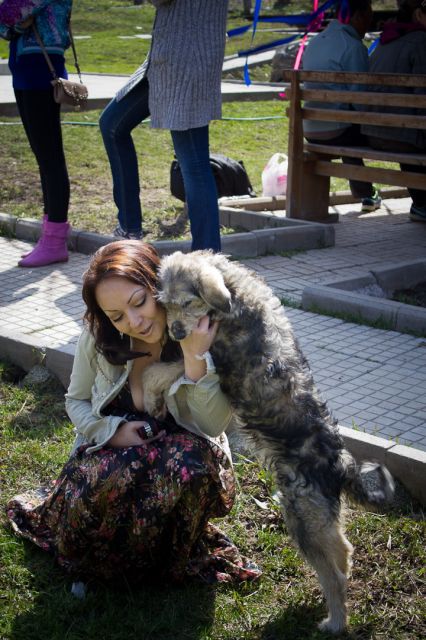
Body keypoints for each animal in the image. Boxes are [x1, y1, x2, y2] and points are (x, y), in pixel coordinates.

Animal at [141, 249, 394, 632]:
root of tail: (340, 462)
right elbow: (164, 370)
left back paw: (334, 622)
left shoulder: (209, 355)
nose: (177, 331)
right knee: (343, 551)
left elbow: (161, 371)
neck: (234, 295)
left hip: (303, 521)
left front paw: (150, 393)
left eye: (188, 302)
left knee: (332, 577)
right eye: (166, 304)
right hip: (319, 519)